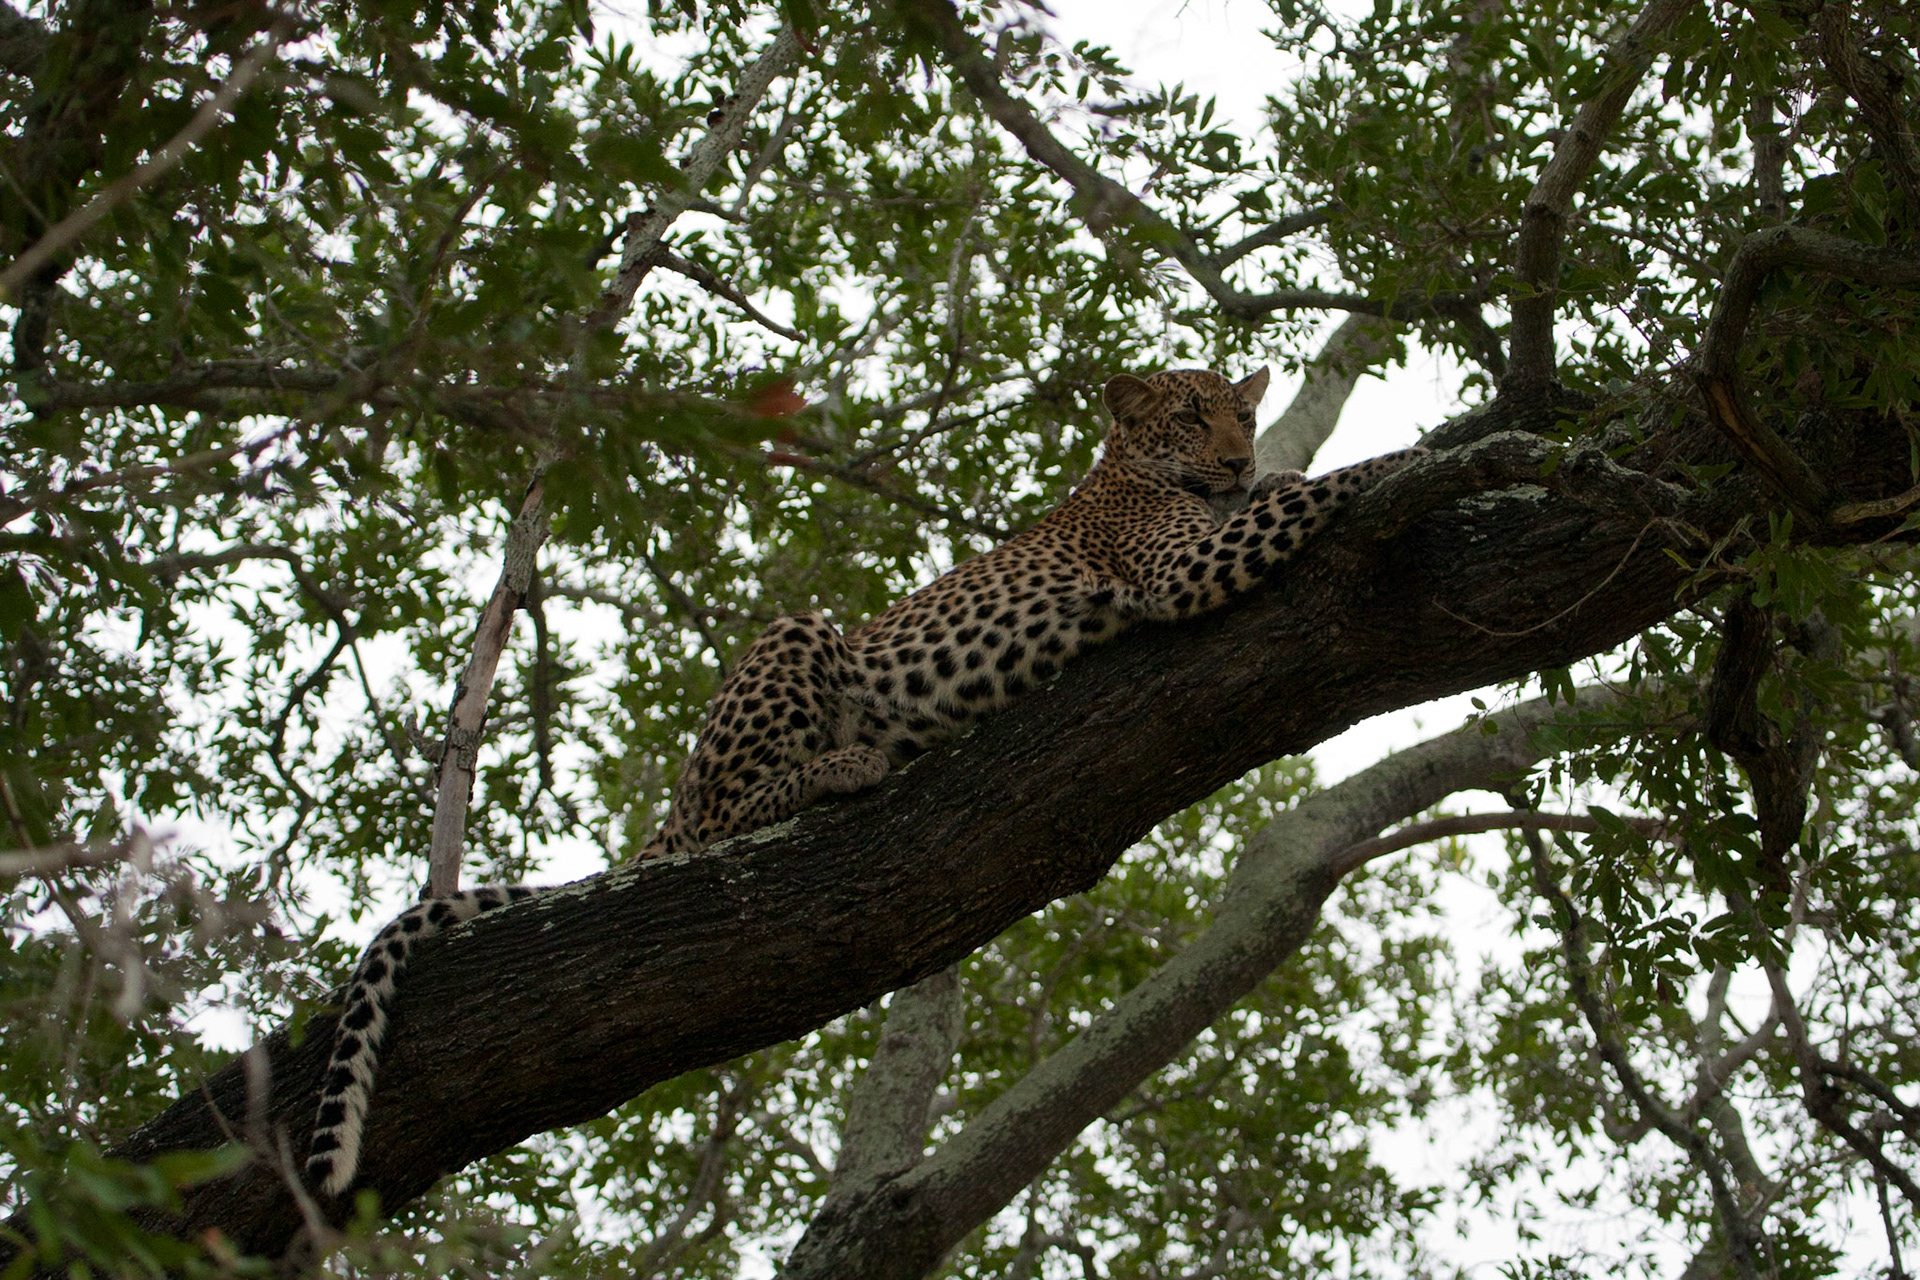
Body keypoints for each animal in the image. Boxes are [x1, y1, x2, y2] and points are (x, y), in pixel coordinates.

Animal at [303, 365, 1425, 1198]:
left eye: (1244, 413)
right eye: (1191, 416)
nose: (1237, 455)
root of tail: (667, 811)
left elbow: (1289, 491)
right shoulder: (1181, 567)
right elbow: (1325, 486)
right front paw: (1423, 457)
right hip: (799, 642)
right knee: (730, 816)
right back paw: (854, 760)